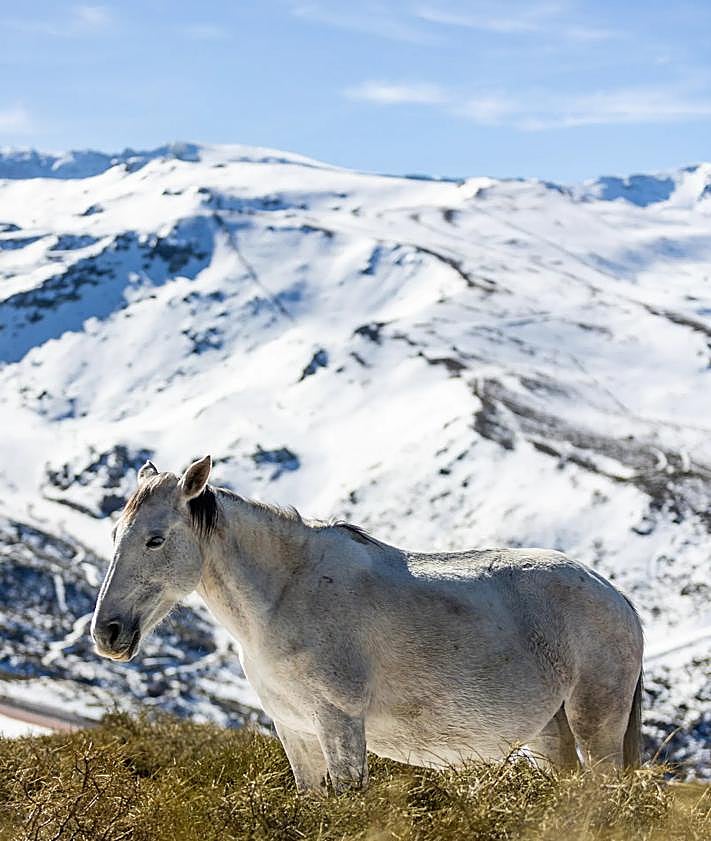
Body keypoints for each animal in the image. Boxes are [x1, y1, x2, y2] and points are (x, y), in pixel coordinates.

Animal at [91, 455, 644, 792]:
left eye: (155, 539)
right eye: (116, 533)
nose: (107, 633)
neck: (285, 595)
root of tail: (616, 596)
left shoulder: (339, 721)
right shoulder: (295, 730)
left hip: (596, 725)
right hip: (550, 734)